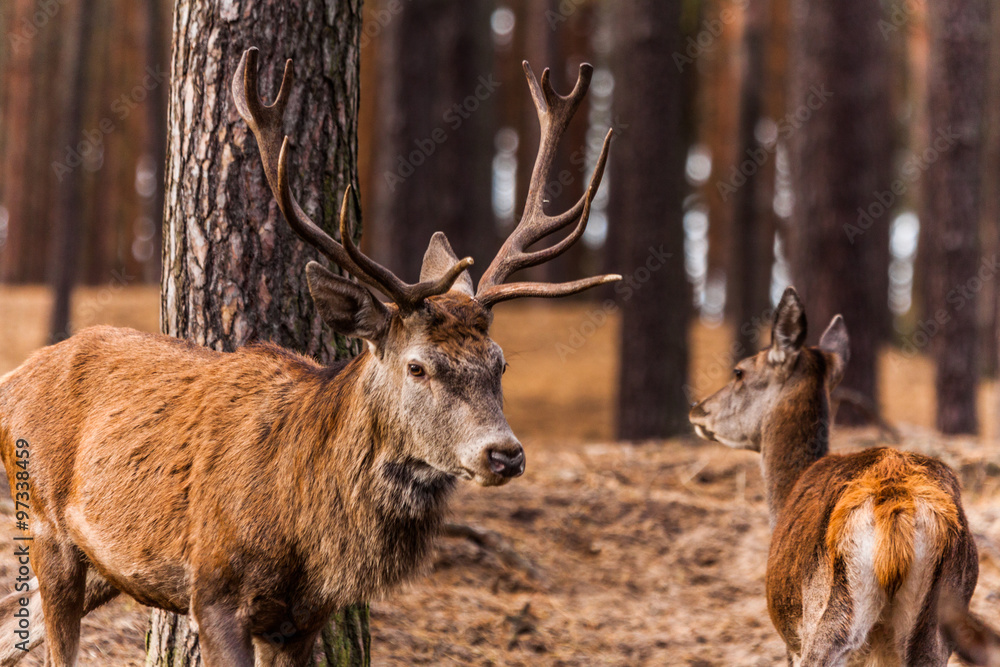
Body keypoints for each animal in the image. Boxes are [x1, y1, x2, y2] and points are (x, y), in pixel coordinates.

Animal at [0, 47, 617, 666]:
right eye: (417, 366)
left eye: (500, 362)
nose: (504, 454)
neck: (303, 530)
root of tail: (13, 379)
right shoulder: (213, 588)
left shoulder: (304, 617)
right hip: (49, 524)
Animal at [689, 287, 979, 666]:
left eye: (739, 371)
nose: (697, 408)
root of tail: (898, 508)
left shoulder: (791, 641)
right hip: (935, 629)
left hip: (830, 615)